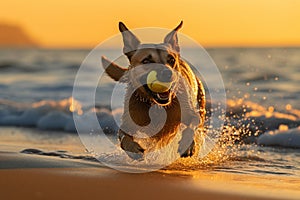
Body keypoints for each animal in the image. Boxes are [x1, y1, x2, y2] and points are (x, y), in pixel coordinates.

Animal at [101, 21, 206, 159]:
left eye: (171, 60)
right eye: (146, 61)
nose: (167, 73)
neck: (157, 106)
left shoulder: (191, 114)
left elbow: (192, 125)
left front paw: (187, 144)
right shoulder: (128, 123)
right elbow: (123, 137)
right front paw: (133, 150)